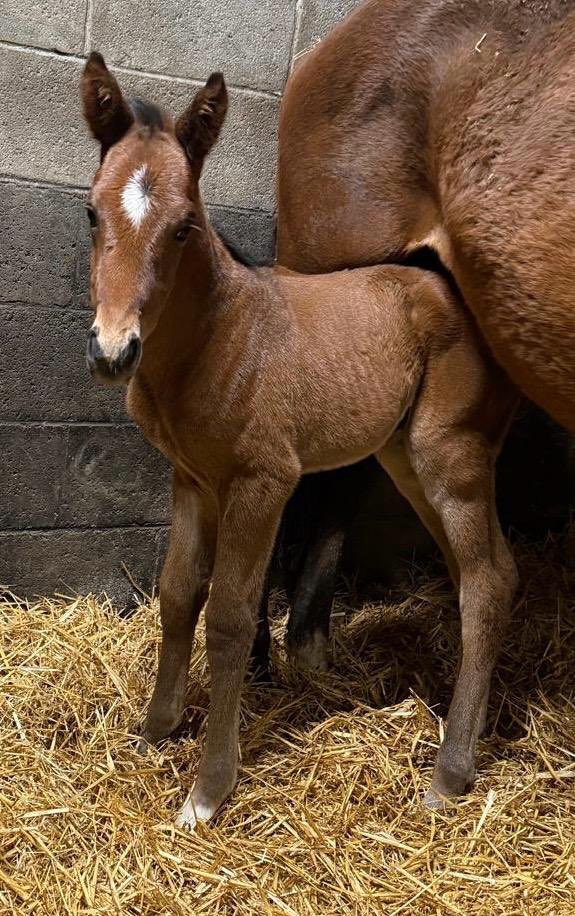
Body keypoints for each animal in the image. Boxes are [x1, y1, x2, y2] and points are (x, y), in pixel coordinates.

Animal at [81, 53, 518, 827]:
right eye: (92, 212)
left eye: (185, 226)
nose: (112, 351)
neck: (215, 338)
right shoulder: (191, 479)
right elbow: (175, 594)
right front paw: (155, 731)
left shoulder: (265, 481)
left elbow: (228, 616)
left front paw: (207, 791)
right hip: (404, 459)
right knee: (487, 573)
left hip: (453, 457)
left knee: (488, 581)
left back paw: (450, 774)